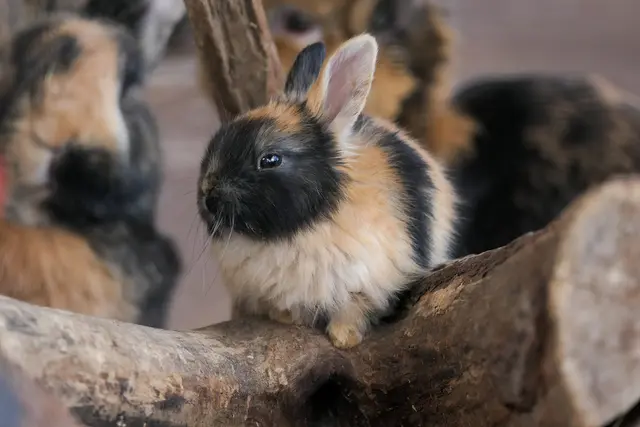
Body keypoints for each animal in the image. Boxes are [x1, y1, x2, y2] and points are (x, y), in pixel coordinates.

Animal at [197, 34, 457, 348]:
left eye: (270, 160)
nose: (208, 195)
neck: (294, 232)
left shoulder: (365, 282)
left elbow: (354, 308)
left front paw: (344, 338)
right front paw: (287, 318)